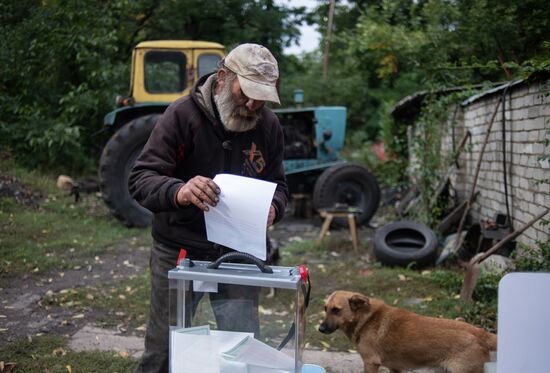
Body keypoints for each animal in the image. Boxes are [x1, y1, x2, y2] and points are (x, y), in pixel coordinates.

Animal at [316, 290, 498, 372]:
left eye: (336, 310)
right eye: (325, 308)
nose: (320, 329)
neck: (366, 319)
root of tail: (480, 332)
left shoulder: (371, 363)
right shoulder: (395, 368)